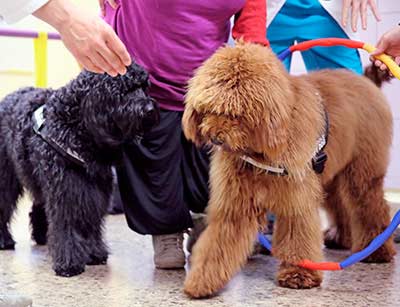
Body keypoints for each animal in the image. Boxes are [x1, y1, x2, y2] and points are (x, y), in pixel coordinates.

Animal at [0, 62, 159, 276]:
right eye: (125, 90)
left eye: (144, 87)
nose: (150, 109)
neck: (75, 124)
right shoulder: (66, 188)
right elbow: (67, 223)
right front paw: (69, 263)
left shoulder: (94, 188)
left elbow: (90, 222)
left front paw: (93, 253)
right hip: (7, 177)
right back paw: (4, 241)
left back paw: (42, 236)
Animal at [183, 42, 396, 300]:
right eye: (208, 109)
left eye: (234, 114)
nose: (214, 137)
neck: (260, 148)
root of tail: (366, 81)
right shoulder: (235, 205)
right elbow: (217, 245)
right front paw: (201, 281)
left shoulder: (296, 198)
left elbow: (297, 238)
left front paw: (298, 275)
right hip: (329, 175)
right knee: (340, 204)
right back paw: (341, 238)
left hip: (361, 173)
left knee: (371, 207)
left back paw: (377, 251)